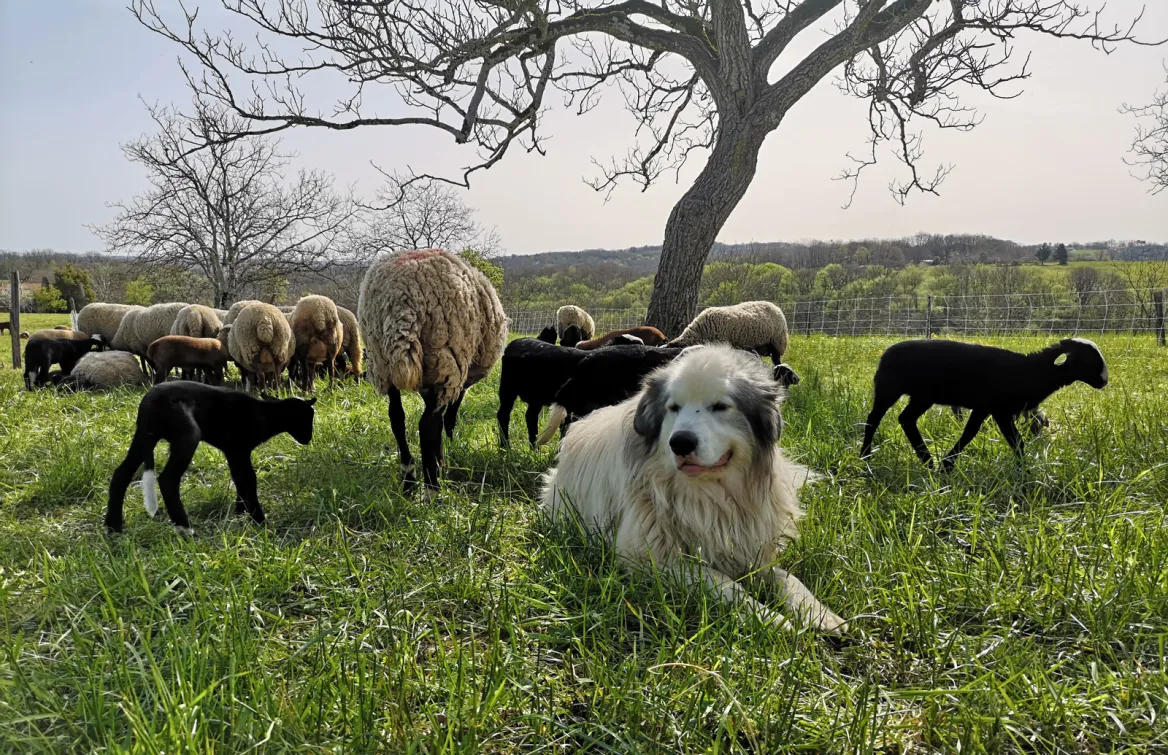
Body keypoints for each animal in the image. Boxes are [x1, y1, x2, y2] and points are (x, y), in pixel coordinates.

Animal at [105, 382, 316, 535]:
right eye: (307, 418)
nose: (308, 439)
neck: (265, 414)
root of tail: (149, 400)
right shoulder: (239, 449)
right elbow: (249, 479)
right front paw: (258, 519)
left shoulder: (233, 452)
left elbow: (239, 479)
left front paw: (240, 510)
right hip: (187, 434)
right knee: (168, 479)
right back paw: (184, 527)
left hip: (145, 437)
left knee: (121, 473)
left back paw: (113, 526)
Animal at [358, 248, 508, 495]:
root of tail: (401, 299)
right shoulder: (455, 383)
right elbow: (447, 418)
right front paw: (442, 459)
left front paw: (438, 460)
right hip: (446, 358)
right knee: (426, 425)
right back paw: (431, 488)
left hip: (382, 363)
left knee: (396, 418)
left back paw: (409, 479)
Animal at [859, 338, 1109, 470]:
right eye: (1090, 359)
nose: (1104, 381)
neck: (1032, 370)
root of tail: (886, 353)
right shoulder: (995, 407)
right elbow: (984, 435)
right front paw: (948, 465)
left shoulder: (991, 409)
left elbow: (1006, 439)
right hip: (889, 390)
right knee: (874, 420)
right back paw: (866, 455)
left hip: (922, 396)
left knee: (906, 419)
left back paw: (927, 460)